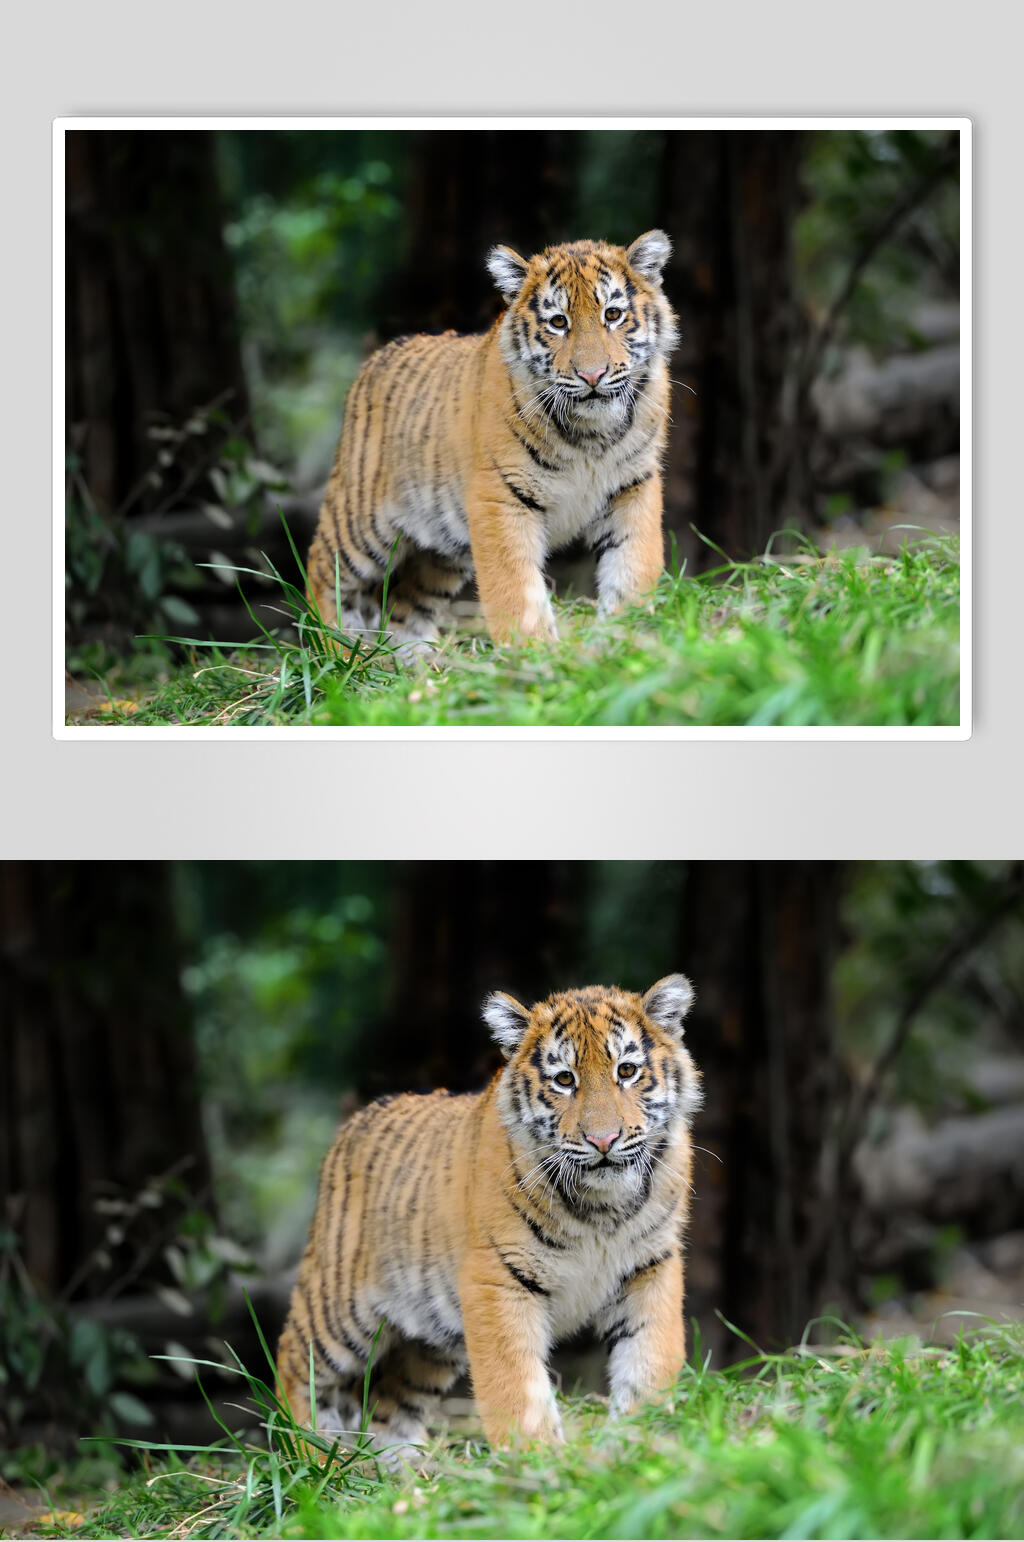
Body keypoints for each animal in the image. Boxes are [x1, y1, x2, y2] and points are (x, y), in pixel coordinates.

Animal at [275, 974, 702, 1456]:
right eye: (564, 1079)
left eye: (626, 1071)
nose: (604, 1140)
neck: (601, 1207)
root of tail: (356, 1118)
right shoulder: (498, 1279)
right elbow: (514, 1385)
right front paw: (537, 1460)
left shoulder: (651, 1266)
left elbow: (649, 1360)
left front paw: (641, 1440)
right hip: (340, 1308)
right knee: (294, 1363)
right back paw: (313, 1453)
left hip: (431, 1338)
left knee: (390, 1405)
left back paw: (405, 1469)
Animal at [305, 231, 679, 650]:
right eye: (558, 322)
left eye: (613, 315)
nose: (593, 375)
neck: (590, 433)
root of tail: (378, 354)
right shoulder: (500, 497)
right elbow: (515, 590)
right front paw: (535, 654)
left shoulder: (634, 485)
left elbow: (633, 567)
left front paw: (626, 637)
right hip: (362, 522)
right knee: (322, 569)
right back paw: (338, 648)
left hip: (442, 549)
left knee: (405, 609)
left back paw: (419, 663)